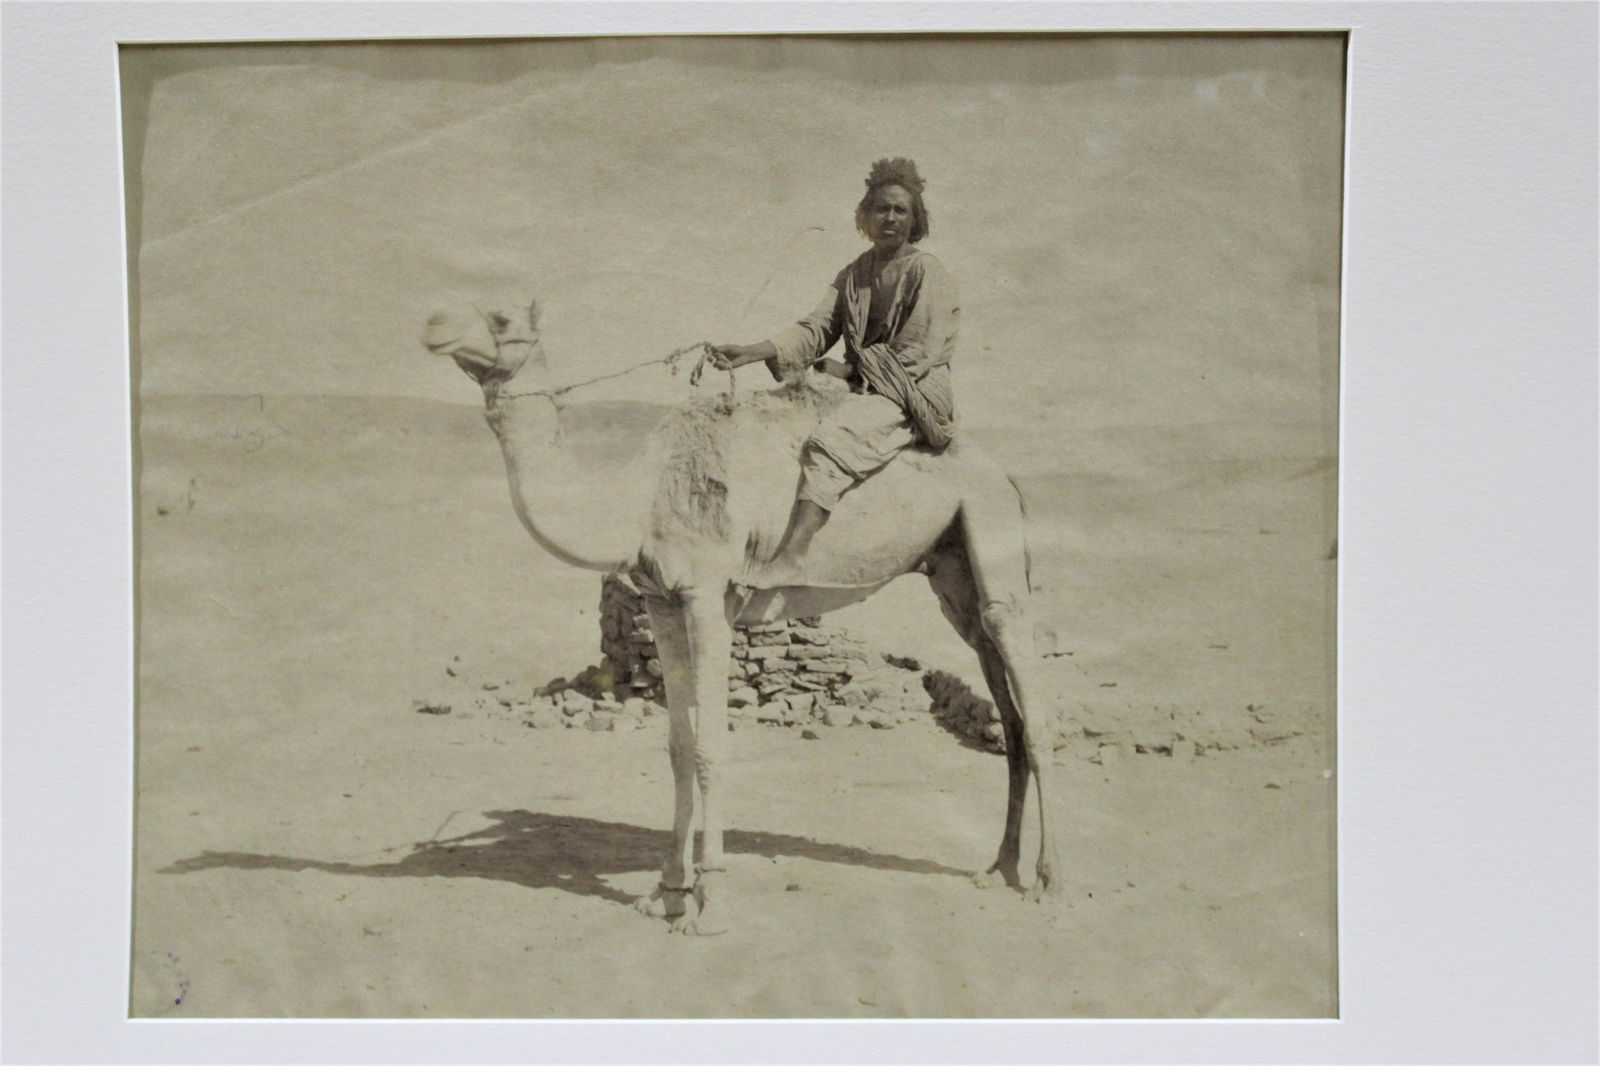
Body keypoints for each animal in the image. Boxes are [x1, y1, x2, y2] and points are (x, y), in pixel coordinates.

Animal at [423, 298, 1063, 935]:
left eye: (501, 318)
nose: (432, 324)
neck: (643, 498)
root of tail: (1005, 476)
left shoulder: (709, 596)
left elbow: (710, 748)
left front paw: (710, 903)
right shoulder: (662, 600)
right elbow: (678, 748)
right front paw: (666, 891)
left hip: (988, 519)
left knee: (1024, 686)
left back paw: (1047, 878)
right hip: (951, 569)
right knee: (998, 691)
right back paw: (999, 868)